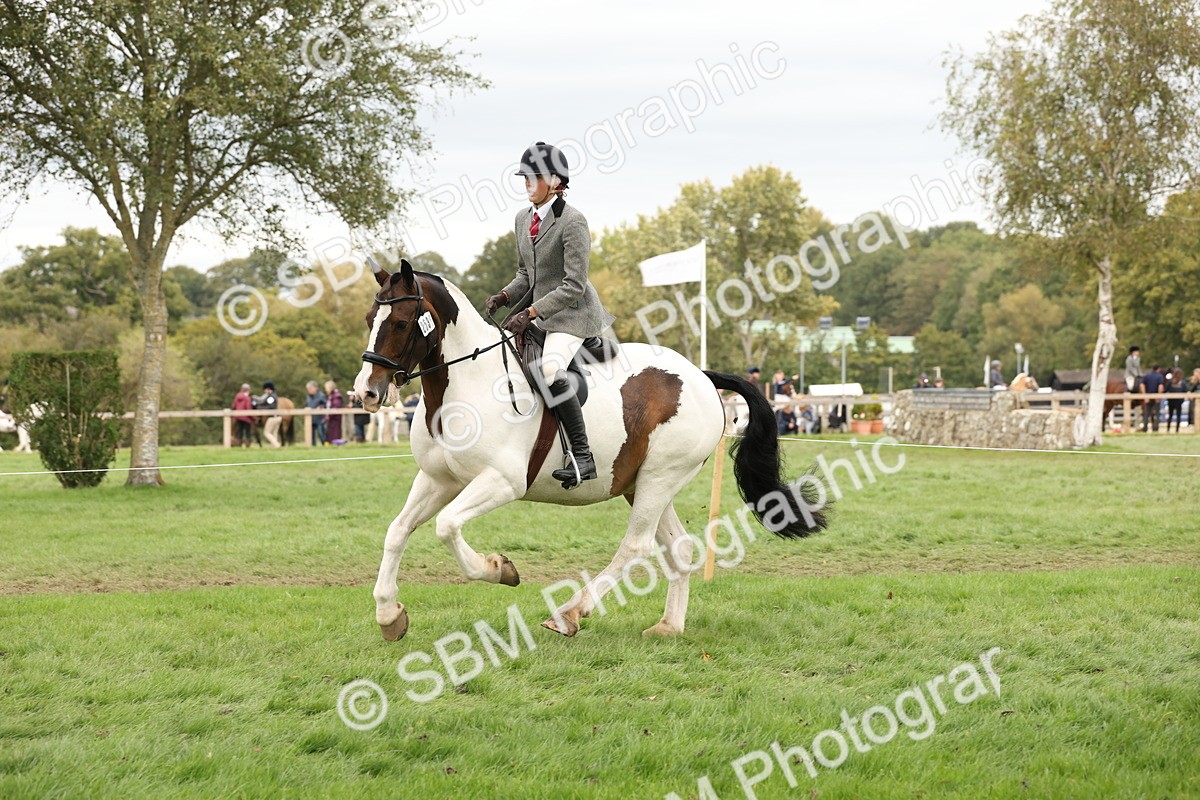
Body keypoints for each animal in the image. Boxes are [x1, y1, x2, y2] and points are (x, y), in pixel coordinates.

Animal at [353, 259, 830, 641]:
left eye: (400, 323)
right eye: (369, 318)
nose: (367, 393)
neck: (464, 384)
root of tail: (700, 375)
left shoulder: (501, 481)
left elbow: (447, 526)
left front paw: (498, 569)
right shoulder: (438, 479)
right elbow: (397, 531)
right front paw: (389, 615)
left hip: (659, 478)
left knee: (636, 546)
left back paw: (569, 614)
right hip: (643, 483)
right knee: (678, 547)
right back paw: (669, 627)